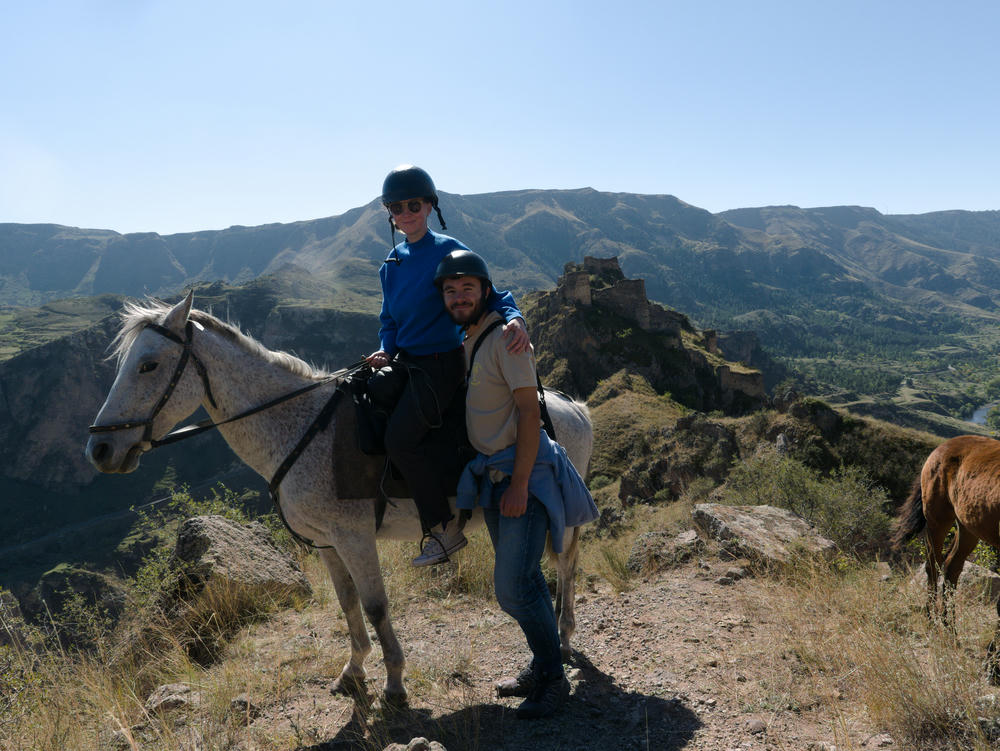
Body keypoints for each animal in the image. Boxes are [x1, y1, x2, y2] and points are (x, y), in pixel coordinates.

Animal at [86, 292, 592, 704]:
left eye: (148, 365)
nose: (100, 449)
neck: (300, 426)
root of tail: (574, 407)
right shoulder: (327, 542)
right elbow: (347, 603)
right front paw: (353, 670)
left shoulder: (354, 537)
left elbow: (375, 606)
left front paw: (394, 681)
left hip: (562, 518)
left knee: (566, 566)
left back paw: (565, 637)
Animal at [896, 434, 1000, 680]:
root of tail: (943, 446)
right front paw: (992, 666)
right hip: (937, 518)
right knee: (933, 566)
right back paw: (932, 622)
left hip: (967, 525)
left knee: (952, 567)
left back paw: (950, 628)